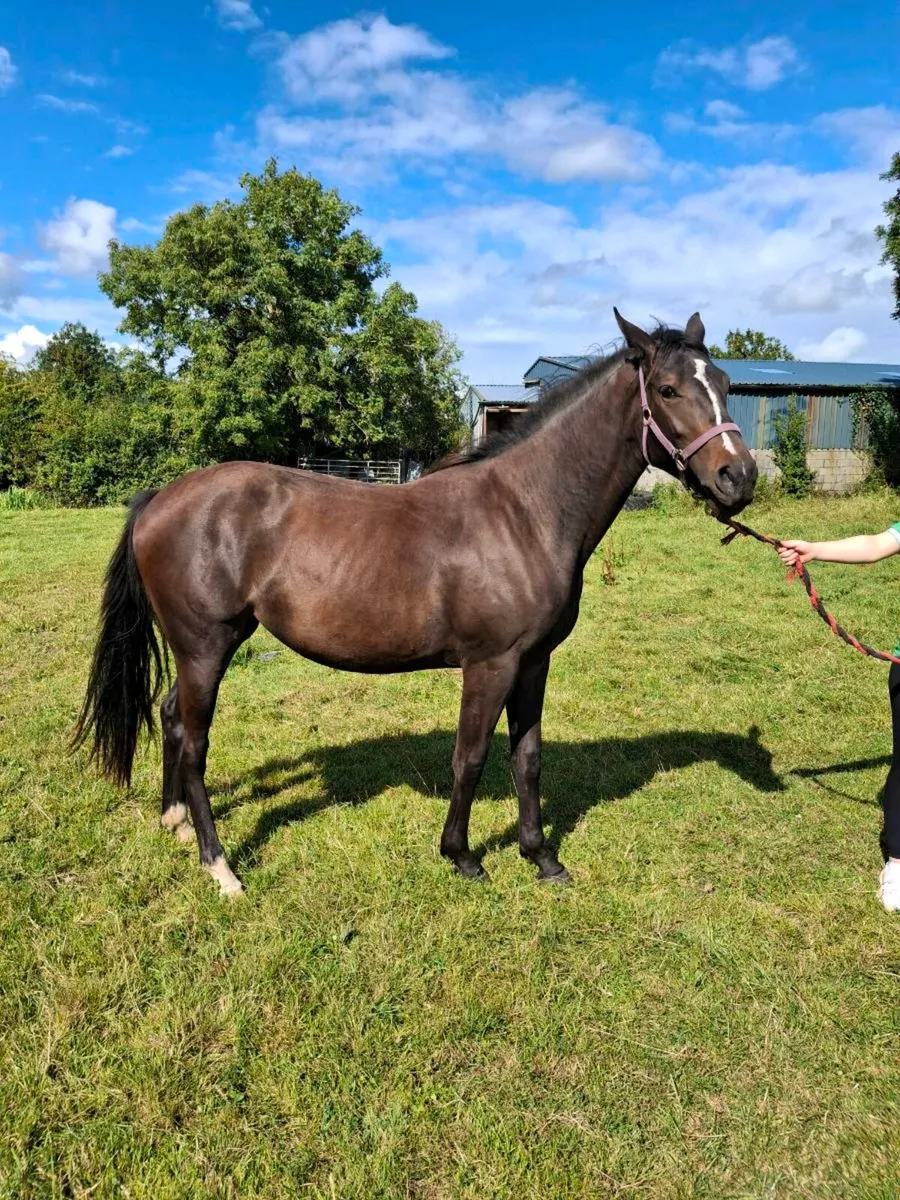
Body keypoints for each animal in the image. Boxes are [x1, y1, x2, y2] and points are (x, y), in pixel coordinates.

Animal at [74, 310, 757, 897]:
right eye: (668, 389)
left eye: (725, 383)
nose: (739, 478)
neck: (525, 513)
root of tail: (160, 499)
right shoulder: (491, 664)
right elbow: (470, 757)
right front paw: (462, 856)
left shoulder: (534, 662)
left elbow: (528, 758)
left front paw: (542, 858)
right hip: (205, 647)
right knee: (194, 742)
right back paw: (219, 866)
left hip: (205, 648)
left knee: (170, 716)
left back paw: (174, 821)